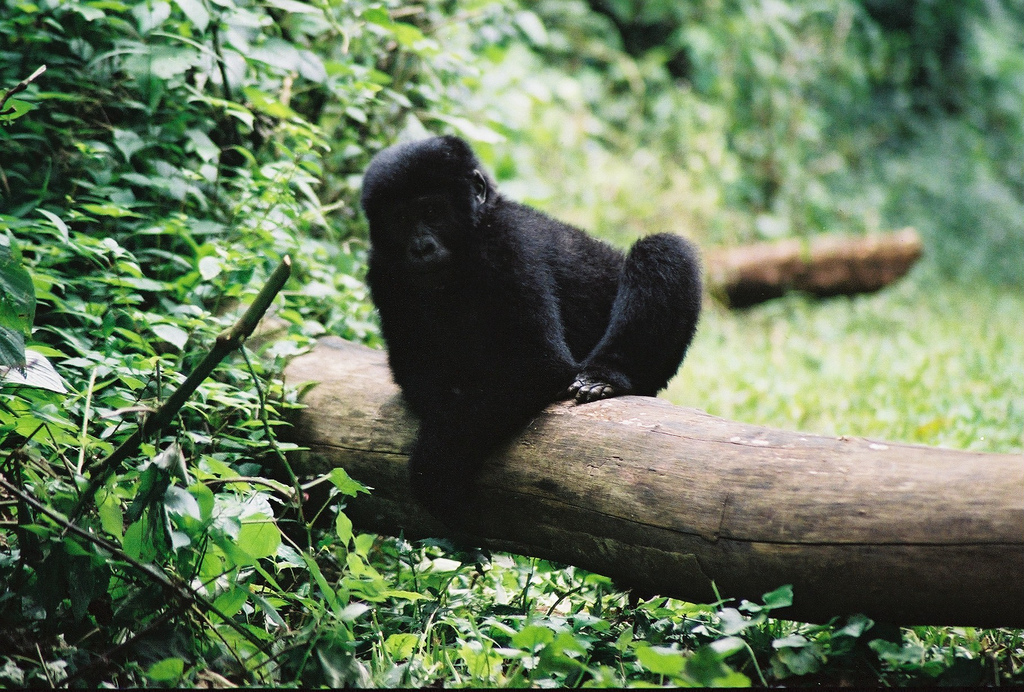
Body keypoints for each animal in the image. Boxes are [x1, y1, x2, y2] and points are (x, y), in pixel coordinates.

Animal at [360, 135, 704, 513]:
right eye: (401, 218)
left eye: (433, 212)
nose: (421, 248)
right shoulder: (382, 271)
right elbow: (419, 374)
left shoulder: (506, 245)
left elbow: (535, 365)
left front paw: (437, 462)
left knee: (662, 248)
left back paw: (606, 376)